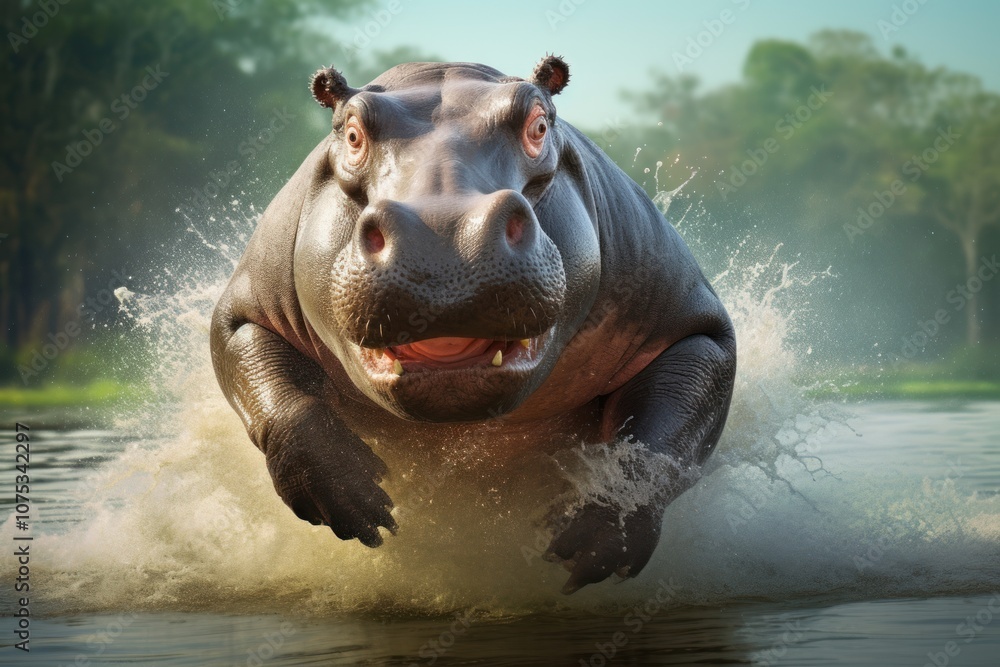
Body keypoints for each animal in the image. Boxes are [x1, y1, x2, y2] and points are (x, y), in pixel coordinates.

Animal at [211, 56, 736, 594]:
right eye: (351, 133)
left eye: (539, 125)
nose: (442, 235)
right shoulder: (244, 311)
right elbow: (283, 399)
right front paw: (359, 504)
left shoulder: (694, 328)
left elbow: (655, 444)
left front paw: (593, 540)